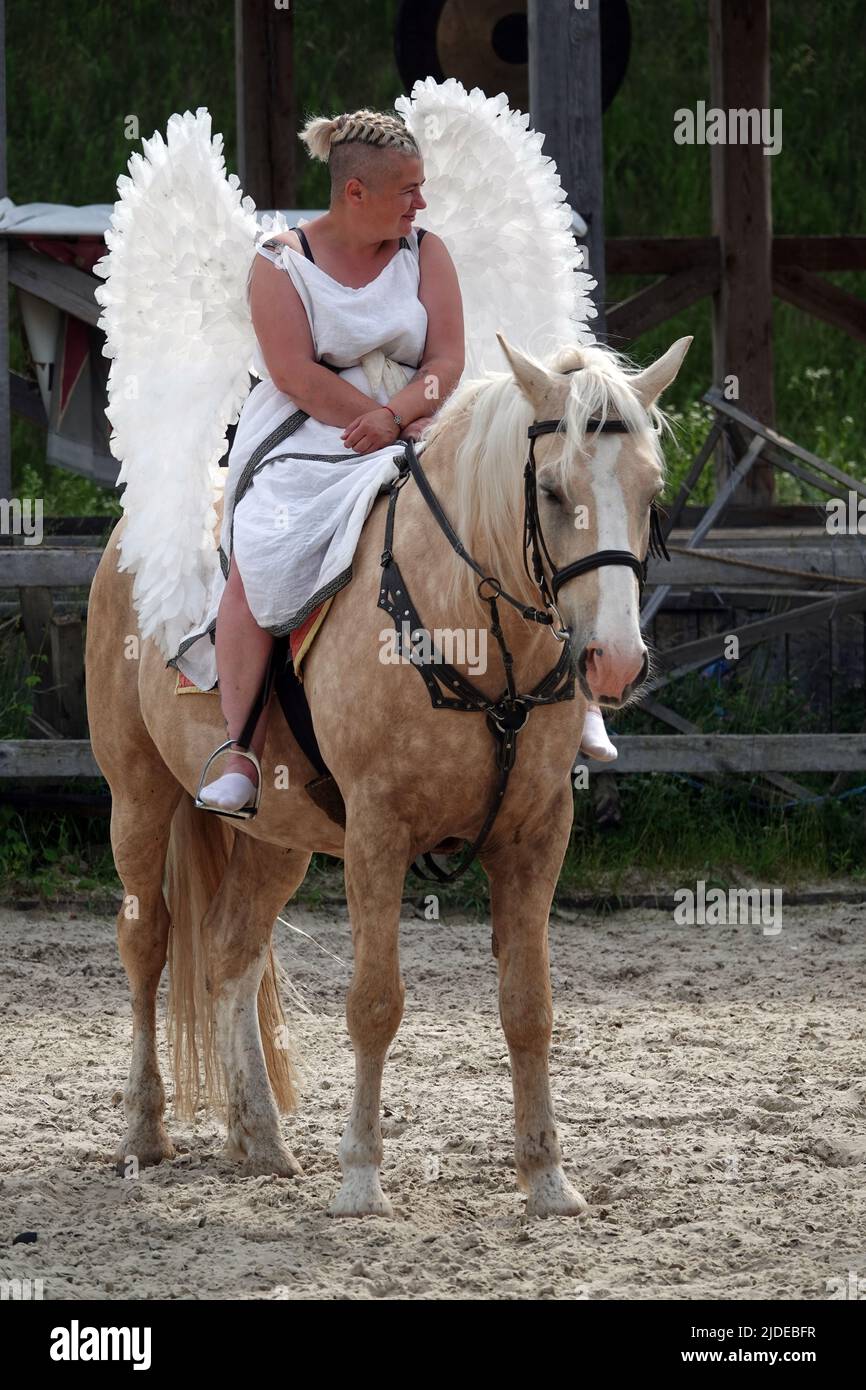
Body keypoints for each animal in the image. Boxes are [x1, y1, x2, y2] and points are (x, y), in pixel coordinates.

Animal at [86, 333, 692, 1217]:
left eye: (651, 490)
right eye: (551, 489)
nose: (614, 662)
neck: (471, 631)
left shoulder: (537, 834)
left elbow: (529, 1008)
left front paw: (547, 1177)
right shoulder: (377, 832)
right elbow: (375, 1004)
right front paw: (362, 1177)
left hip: (279, 836)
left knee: (230, 950)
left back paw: (259, 1139)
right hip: (137, 796)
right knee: (146, 942)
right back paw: (140, 1131)